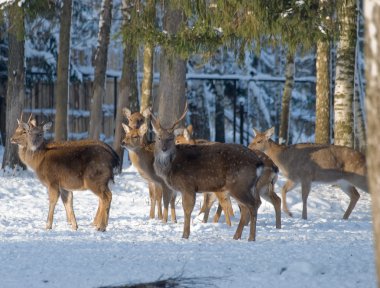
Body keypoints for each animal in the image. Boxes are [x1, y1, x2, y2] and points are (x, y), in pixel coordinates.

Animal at [150, 104, 266, 242]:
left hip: (239, 184)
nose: (164, 149)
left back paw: (251, 238)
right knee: (247, 207)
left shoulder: (188, 184)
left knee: (252, 205)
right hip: (245, 186)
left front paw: (185, 235)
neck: (171, 166)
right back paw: (236, 236)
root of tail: (259, 163)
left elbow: (187, 209)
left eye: (171, 138)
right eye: (158, 138)